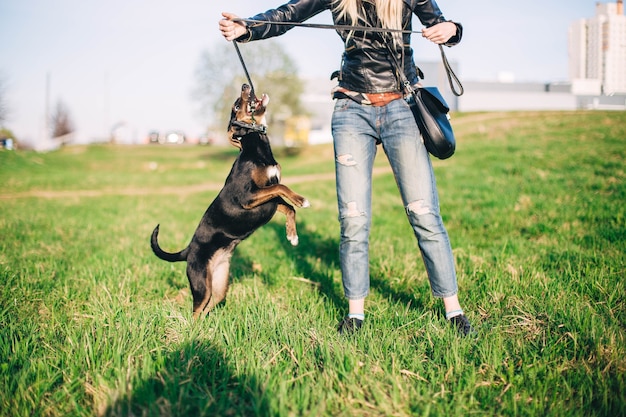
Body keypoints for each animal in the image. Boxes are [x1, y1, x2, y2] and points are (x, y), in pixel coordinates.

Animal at [151, 84, 308, 318]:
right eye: (236, 105)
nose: (245, 85)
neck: (256, 147)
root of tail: (188, 250)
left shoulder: (268, 200)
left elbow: (288, 206)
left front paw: (292, 235)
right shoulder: (248, 197)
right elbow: (282, 188)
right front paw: (301, 199)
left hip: (219, 283)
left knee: (209, 306)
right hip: (200, 284)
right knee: (196, 311)